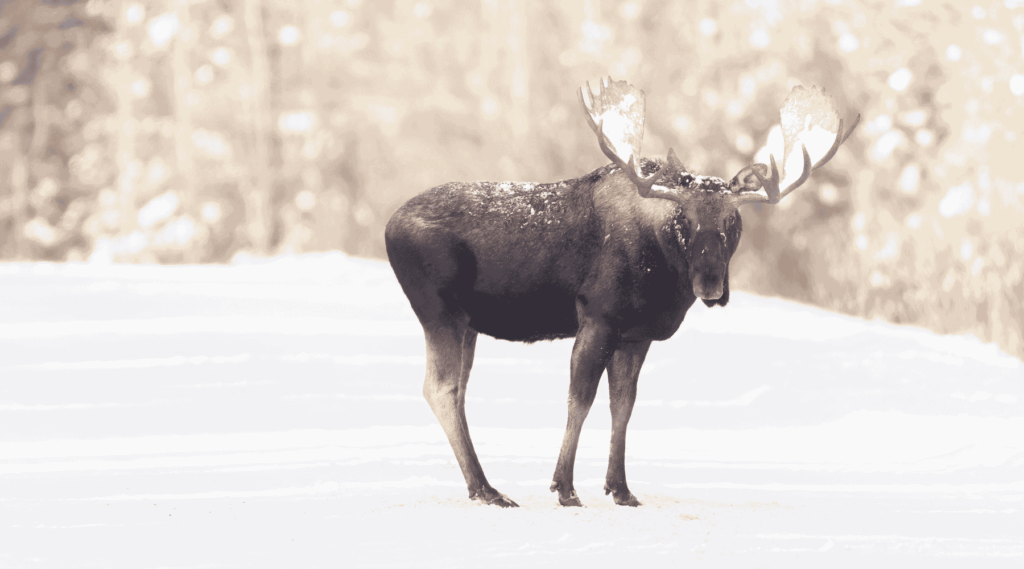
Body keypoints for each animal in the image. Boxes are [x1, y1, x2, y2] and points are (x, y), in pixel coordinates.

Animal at [385, 78, 858, 508]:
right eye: (684, 219)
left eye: (732, 223)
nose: (711, 284)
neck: (664, 275)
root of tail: (388, 227)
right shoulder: (598, 317)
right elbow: (580, 399)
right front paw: (565, 488)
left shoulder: (636, 334)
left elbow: (623, 405)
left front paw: (621, 488)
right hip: (439, 310)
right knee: (440, 388)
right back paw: (487, 489)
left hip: (468, 323)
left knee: (457, 390)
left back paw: (480, 486)